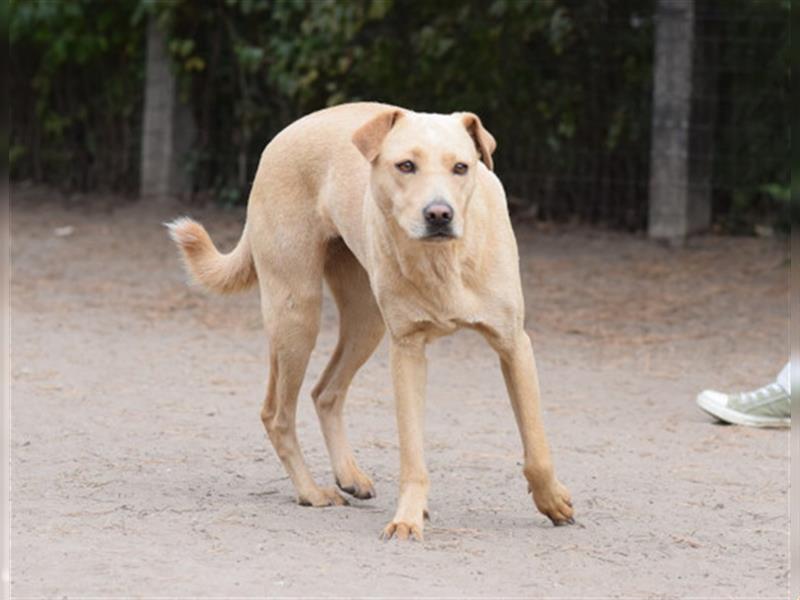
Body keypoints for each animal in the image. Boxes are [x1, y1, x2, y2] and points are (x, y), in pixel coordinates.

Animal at [170, 102, 576, 540]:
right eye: (406, 165)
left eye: (461, 167)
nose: (439, 214)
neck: (442, 260)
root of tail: (286, 133)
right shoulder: (408, 351)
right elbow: (412, 453)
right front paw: (408, 518)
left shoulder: (513, 344)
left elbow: (536, 443)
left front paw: (552, 501)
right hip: (297, 315)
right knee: (276, 414)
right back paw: (312, 492)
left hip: (366, 323)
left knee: (325, 391)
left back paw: (348, 475)